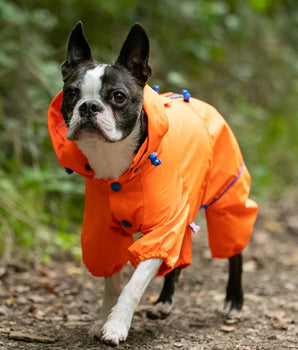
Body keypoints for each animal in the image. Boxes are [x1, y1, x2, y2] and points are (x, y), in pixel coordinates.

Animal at [47, 22, 258, 348]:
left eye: (119, 96)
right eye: (71, 93)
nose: (89, 106)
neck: (119, 168)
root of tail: (198, 101)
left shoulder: (162, 228)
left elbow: (133, 285)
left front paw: (116, 326)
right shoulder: (104, 232)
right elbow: (112, 282)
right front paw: (102, 319)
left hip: (226, 195)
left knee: (234, 247)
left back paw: (233, 302)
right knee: (181, 254)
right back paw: (164, 303)